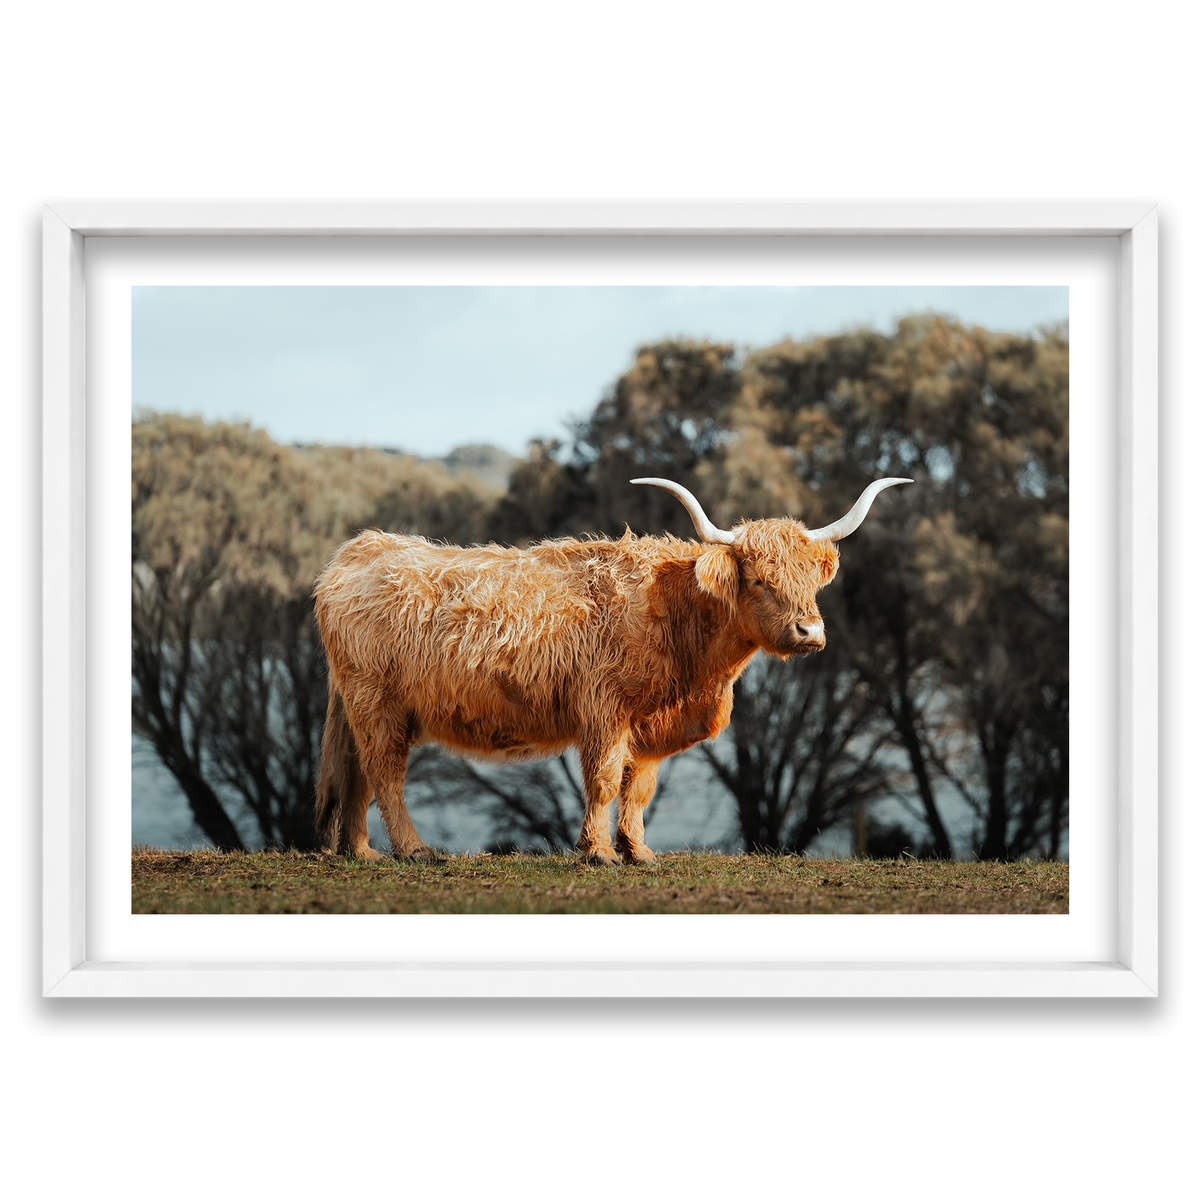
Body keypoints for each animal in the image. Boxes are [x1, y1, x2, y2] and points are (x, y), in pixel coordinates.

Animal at [313, 476, 911, 865]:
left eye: (811, 580)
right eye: (761, 580)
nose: (810, 632)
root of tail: (359, 549)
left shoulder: (647, 723)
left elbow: (639, 787)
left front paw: (638, 851)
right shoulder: (604, 709)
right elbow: (602, 780)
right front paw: (598, 852)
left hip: (364, 706)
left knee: (357, 774)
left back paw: (361, 852)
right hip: (378, 702)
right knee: (385, 773)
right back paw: (414, 851)